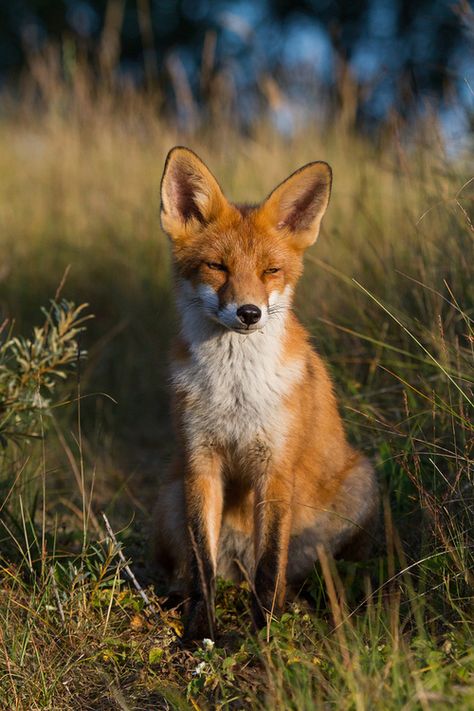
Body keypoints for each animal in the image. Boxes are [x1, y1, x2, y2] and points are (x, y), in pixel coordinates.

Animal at [154, 147, 380, 644]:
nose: (249, 313)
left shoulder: (275, 467)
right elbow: (202, 567)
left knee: (287, 572)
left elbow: (269, 565)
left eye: (270, 271)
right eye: (217, 266)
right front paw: (199, 634)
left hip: (359, 483)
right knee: (195, 570)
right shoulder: (201, 463)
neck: (236, 391)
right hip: (170, 496)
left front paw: (265, 638)